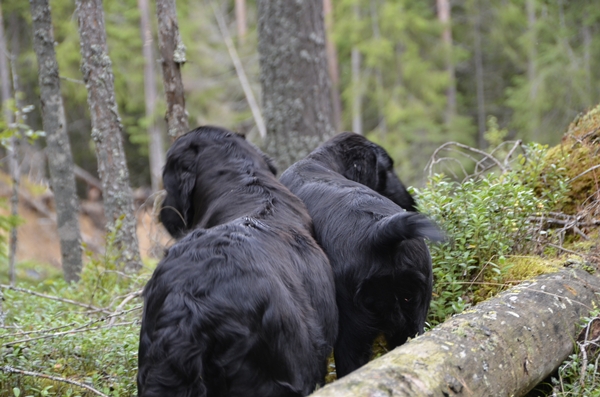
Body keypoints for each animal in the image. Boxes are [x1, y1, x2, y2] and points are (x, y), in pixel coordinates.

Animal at [280, 131, 440, 376]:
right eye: (388, 168)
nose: (411, 201)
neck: (320, 162)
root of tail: (379, 230)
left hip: (351, 331)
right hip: (412, 319)